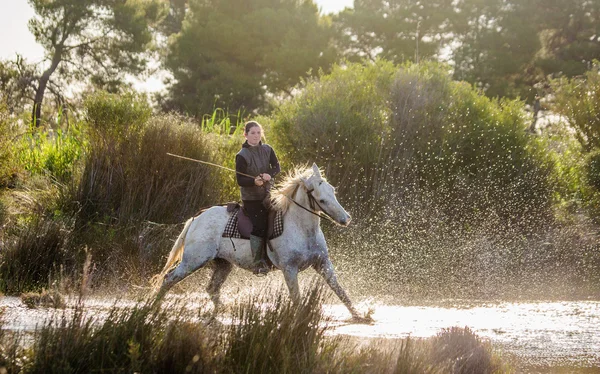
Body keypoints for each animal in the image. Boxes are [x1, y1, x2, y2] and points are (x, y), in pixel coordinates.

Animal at [152, 162, 364, 320]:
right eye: (321, 200)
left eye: (333, 191)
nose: (346, 219)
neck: (303, 229)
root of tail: (196, 219)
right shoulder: (289, 269)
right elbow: (296, 298)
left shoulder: (322, 263)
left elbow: (339, 290)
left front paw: (360, 316)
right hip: (193, 261)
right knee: (169, 279)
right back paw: (153, 308)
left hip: (223, 264)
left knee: (212, 288)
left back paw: (223, 312)